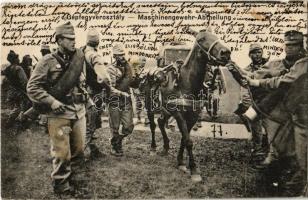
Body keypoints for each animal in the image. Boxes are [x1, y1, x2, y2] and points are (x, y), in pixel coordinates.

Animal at [143, 29, 232, 181]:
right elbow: (188, 141)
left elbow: (184, 139)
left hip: (166, 110)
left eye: (216, 36)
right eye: (201, 39)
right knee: (153, 125)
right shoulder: (179, 115)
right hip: (150, 106)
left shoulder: (193, 116)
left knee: (160, 122)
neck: (186, 82)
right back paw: (153, 148)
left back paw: (165, 147)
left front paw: (181, 162)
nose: (225, 52)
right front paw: (194, 170)